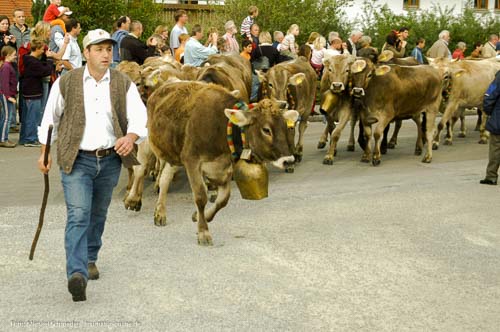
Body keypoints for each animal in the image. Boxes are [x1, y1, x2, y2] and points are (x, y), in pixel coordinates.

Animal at [147, 81, 296, 245]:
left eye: (285, 127)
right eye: (266, 130)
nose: (288, 161)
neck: (219, 128)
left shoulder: (224, 168)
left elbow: (223, 199)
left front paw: (201, 216)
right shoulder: (191, 160)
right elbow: (200, 196)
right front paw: (203, 232)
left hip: (174, 156)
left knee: (165, 178)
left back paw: (160, 212)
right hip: (165, 154)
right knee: (163, 180)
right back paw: (160, 212)